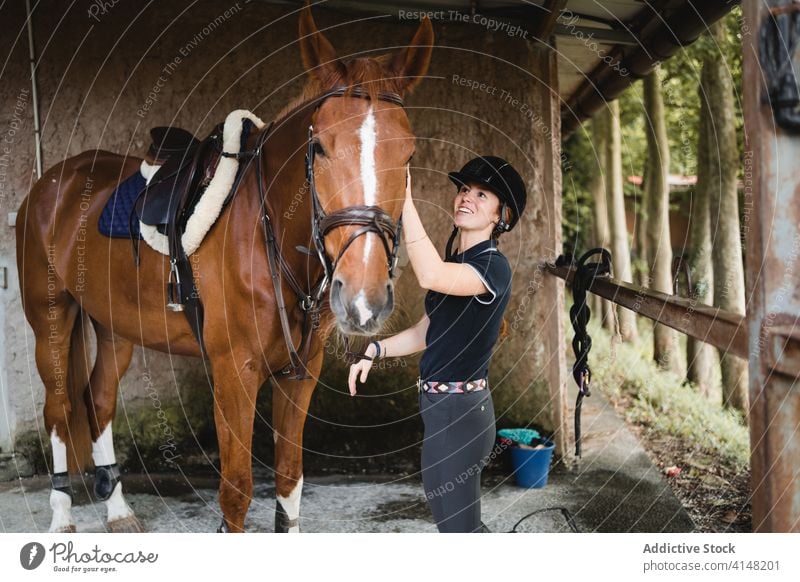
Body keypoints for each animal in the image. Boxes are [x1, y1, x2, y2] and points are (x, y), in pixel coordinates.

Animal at [14, 9, 432, 536]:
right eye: (319, 148)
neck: (267, 231)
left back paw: (118, 509)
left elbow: (290, 481)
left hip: (115, 326)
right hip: (51, 316)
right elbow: (236, 493)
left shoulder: (301, 373)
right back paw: (62, 518)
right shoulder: (235, 373)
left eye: (410, 153)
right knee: (59, 407)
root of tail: (51, 182)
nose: (364, 298)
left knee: (99, 399)